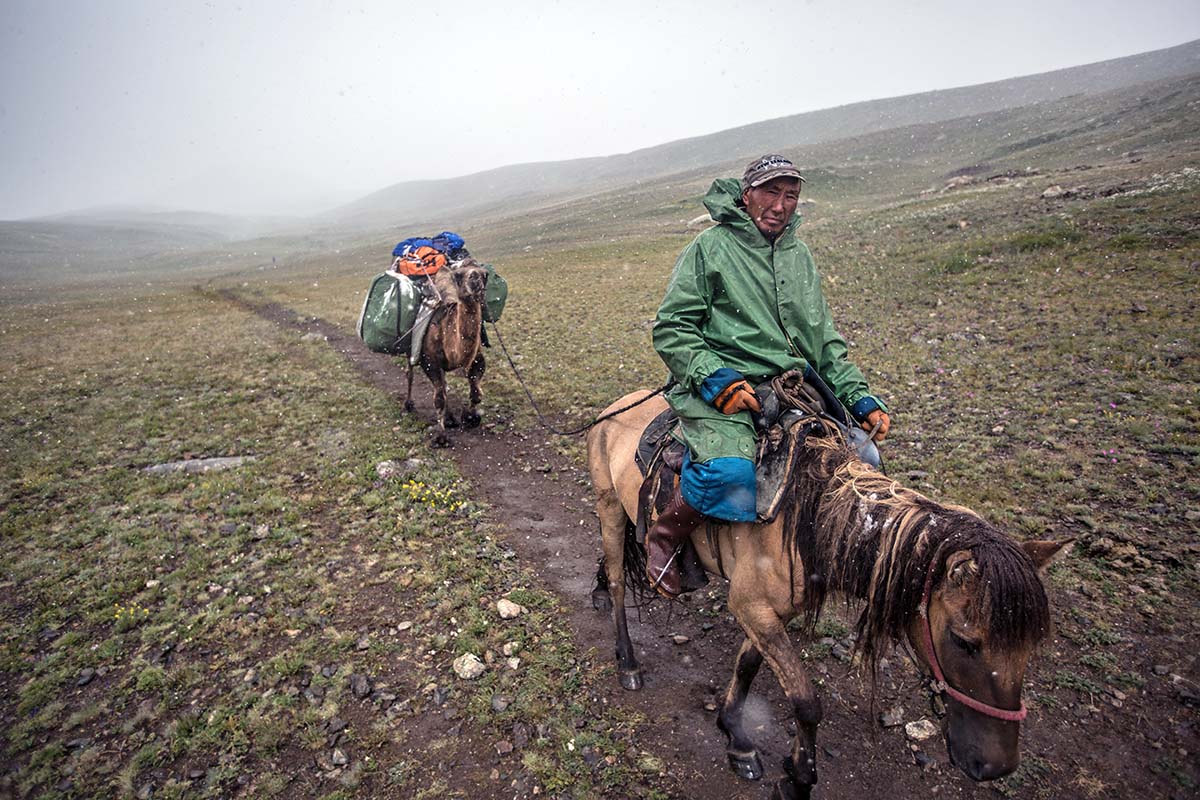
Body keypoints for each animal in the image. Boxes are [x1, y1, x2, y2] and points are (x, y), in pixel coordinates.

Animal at [403, 260, 487, 443]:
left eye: (485, 274)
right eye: (458, 275)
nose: (475, 278)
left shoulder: (477, 358)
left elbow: (476, 393)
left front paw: (470, 417)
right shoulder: (429, 361)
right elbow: (439, 399)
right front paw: (441, 437)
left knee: (444, 384)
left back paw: (449, 418)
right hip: (411, 347)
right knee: (410, 373)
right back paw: (408, 405)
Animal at [588, 393, 1070, 800]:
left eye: (1032, 647)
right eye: (964, 641)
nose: (996, 767)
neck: (807, 514)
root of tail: (613, 409)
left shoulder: (769, 612)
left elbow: (747, 666)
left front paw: (734, 735)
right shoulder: (751, 606)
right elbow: (806, 703)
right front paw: (798, 778)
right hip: (609, 507)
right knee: (618, 581)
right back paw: (627, 660)